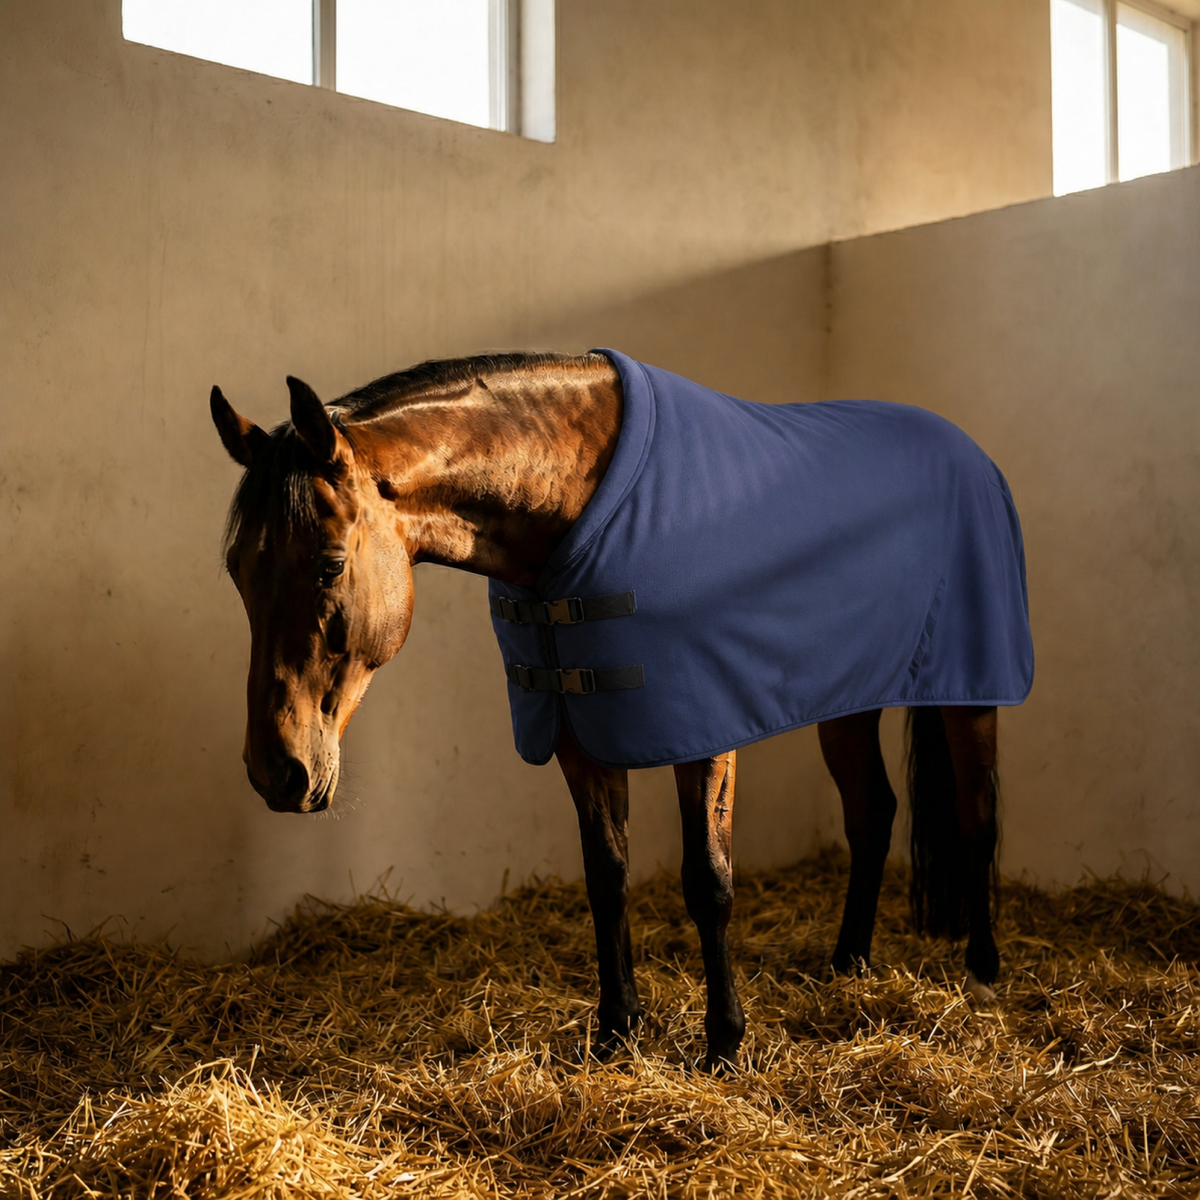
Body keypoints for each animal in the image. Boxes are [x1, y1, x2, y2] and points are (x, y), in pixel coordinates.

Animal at [211, 350, 1032, 1071]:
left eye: (329, 565)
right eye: (238, 571)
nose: (276, 771)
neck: (574, 507)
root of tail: (968, 451)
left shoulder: (705, 733)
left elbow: (709, 882)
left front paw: (724, 1045)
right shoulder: (580, 730)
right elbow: (606, 877)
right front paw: (616, 1033)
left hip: (973, 693)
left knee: (976, 813)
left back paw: (982, 970)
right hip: (849, 701)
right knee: (872, 813)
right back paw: (849, 963)